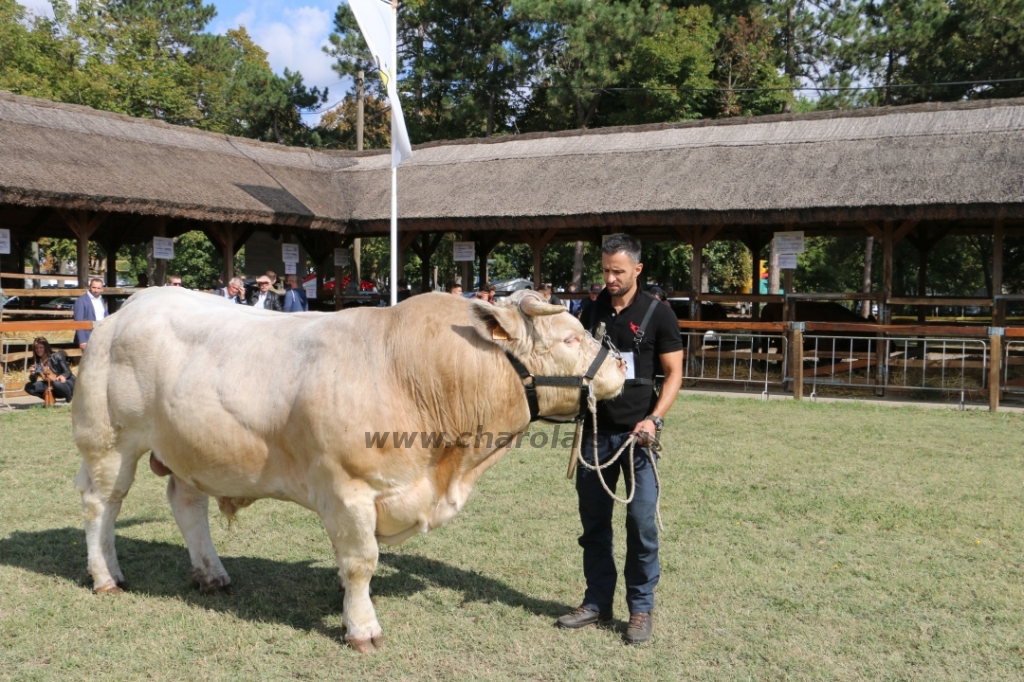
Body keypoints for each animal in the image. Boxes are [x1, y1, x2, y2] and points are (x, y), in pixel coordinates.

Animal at [72, 286, 622, 647]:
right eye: (570, 339)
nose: (620, 366)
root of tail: (130, 306)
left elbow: (355, 558)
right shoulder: (348, 487)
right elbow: (362, 560)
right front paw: (362, 627)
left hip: (191, 448)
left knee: (186, 505)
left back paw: (211, 575)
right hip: (108, 442)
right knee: (102, 506)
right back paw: (106, 576)